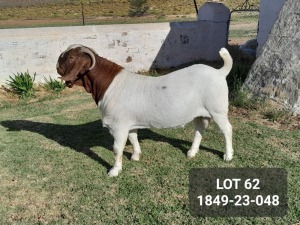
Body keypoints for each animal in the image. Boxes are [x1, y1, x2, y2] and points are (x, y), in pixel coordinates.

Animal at [56, 44, 234, 178]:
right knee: (199, 128)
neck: (108, 85)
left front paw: (114, 170)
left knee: (227, 129)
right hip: (200, 112)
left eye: (71, 57)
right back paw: (192, 152)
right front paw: (135, 156)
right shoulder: (129, 123)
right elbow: (133, 137)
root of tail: (219, 72)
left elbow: (117, 148)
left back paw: (228, 155)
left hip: (217, 108)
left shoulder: (119, 125)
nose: (57, 65)